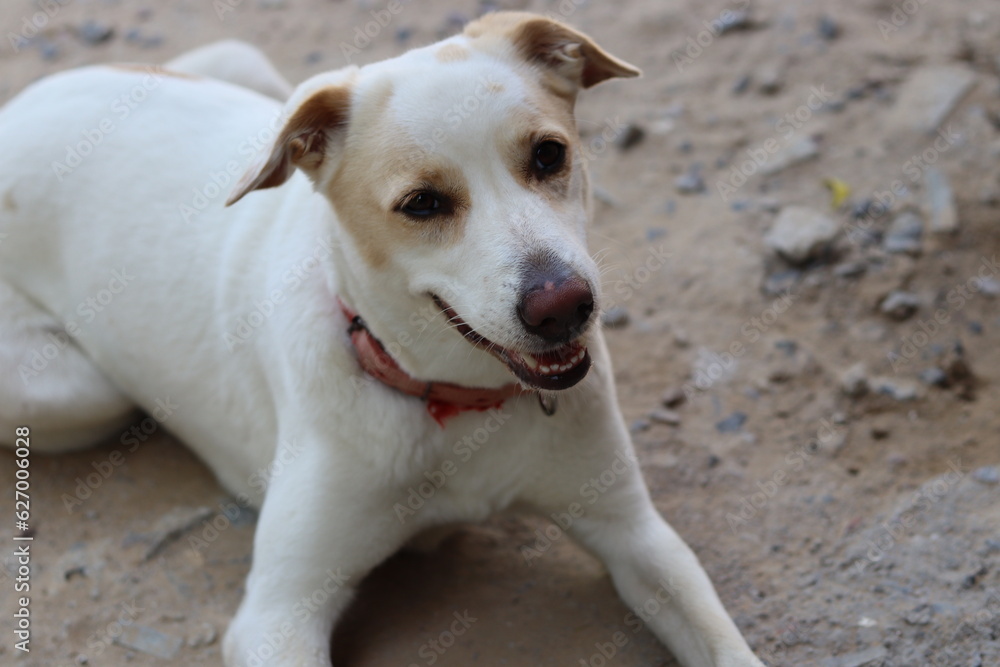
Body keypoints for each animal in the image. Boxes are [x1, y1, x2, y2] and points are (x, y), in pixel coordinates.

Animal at [1, 10, 764, 667]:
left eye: (549, 155)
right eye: (422, 204)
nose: (564, 307)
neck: (454, 401)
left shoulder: (637, 536)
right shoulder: (278, 613)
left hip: (242, 65)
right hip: (77, 391)